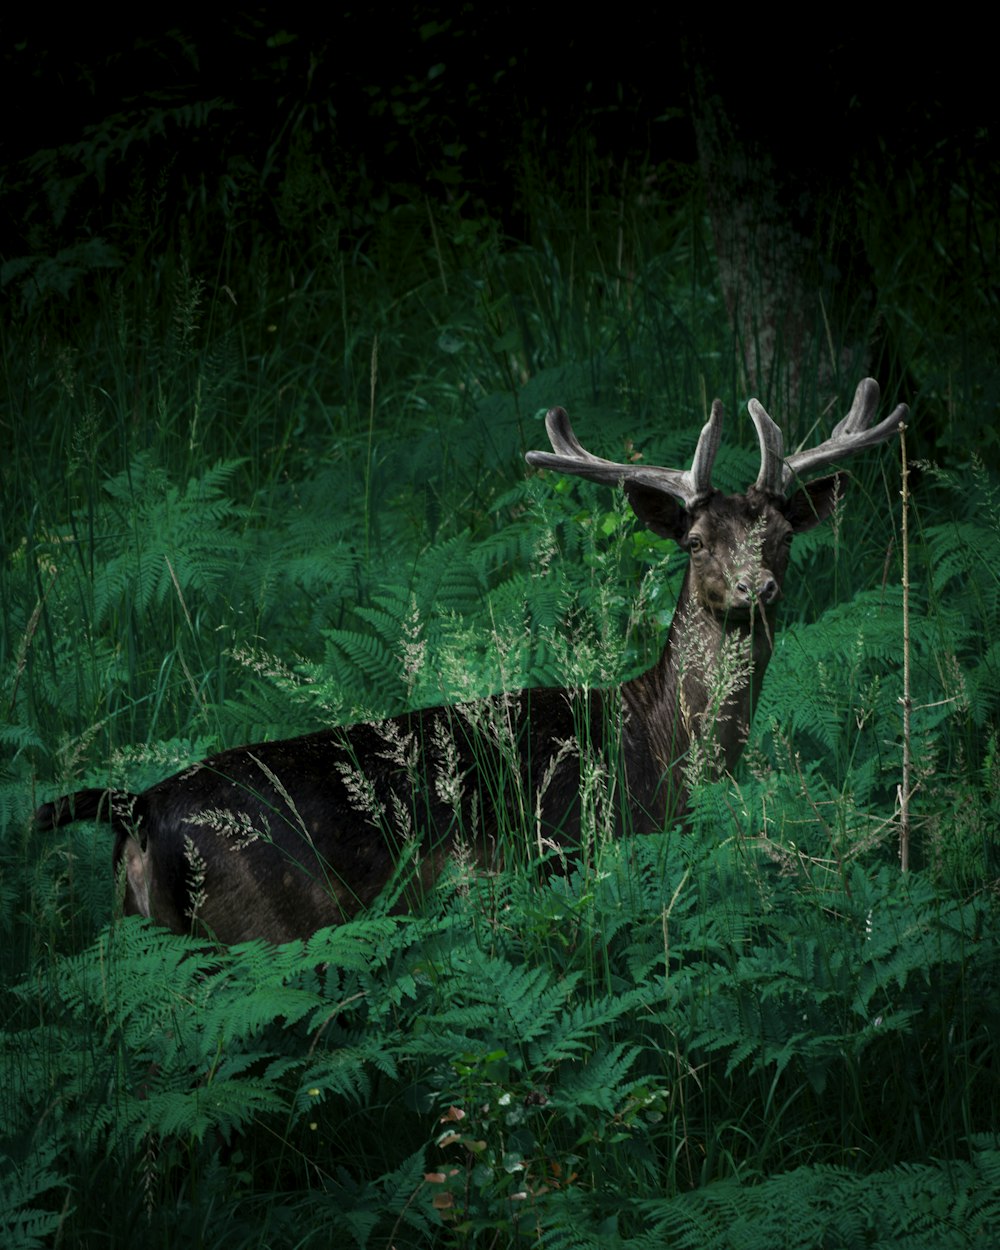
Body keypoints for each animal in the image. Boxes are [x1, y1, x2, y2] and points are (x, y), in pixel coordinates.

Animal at [35, 375, 905, 940]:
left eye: (783, 535)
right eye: (693, 541)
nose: (757, 587)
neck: (658, 750)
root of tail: (136, 807)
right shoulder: (567, 851)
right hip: (257, 923)